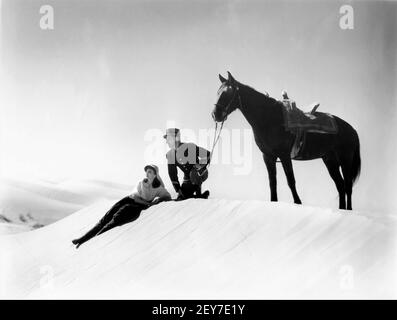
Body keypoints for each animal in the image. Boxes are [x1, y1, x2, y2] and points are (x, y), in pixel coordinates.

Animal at [212, 72, 360, 210]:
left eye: (227, 93)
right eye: (218, 92)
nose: (215, 115)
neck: (270, 118)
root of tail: (351, 129)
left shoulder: (284, 155)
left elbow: (291, 180)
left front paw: (298, 203)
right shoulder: (268, 156)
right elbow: (272, 182)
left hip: (345, 160)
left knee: (347, 186)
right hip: (330, 161)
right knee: (340, 186)